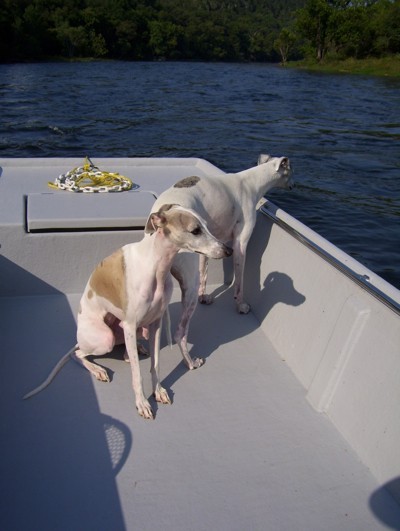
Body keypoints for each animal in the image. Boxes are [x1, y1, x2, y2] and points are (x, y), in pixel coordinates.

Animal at [24, 206, 231, 422]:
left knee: (124, 351)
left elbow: (155, 364)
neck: (155, 265)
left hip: (135, 330)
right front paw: (142, 403)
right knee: (78, 354)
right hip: (105, 338)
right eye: (195, 230)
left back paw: (135, 350)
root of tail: (79, 337)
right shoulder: (131, 324)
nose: (229, 250)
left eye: (206, 226)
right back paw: (98, 369)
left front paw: (158, 391)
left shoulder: (155, 323)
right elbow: (137, 374)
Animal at [146, 154, 294, 370]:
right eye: (291, 170)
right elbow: (239, 282)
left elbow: (205, 271)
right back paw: (191, 362)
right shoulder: (240, 244)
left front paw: (205, 297)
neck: (251, 182)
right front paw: (241, 305)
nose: (294, 186)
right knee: (180, 333)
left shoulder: (208, 246)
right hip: (187, 289)